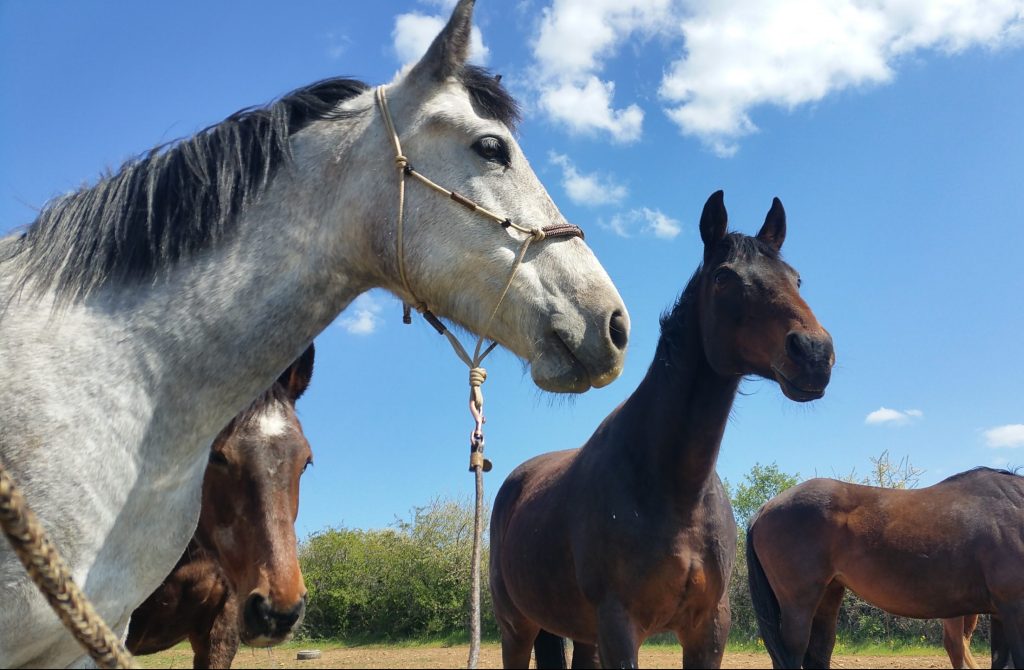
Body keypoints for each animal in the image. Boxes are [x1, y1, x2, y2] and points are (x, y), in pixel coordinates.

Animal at [489, 190, 835, 669]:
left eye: (796, 279)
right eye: (724, 278)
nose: (814, 353)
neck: (672, 488)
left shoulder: (708, 629)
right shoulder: (619, 628)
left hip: (580, 634)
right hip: (516, 628)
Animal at [746, 468, 1024, 669]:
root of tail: (765, 508)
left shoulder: (1001, 614)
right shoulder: (1014, 608)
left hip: (829, 594)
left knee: (819, 651)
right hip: (799, 602)